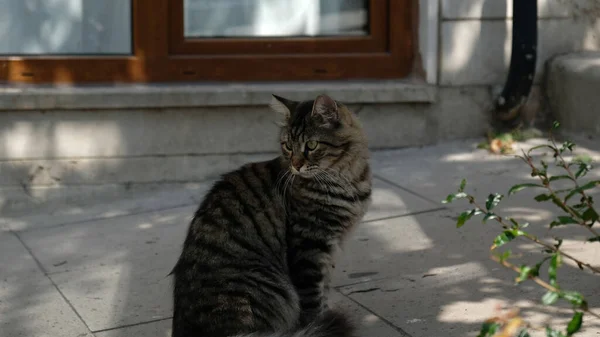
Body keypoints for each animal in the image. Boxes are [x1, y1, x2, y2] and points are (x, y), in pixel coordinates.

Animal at [169, 93, 372, 336]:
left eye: (311, 145)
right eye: (288, 146)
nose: (295, 166)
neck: (347, 179)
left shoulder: (329, 249)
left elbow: (324, 291)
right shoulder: (310, 248)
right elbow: (313, 302)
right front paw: (319, 324)